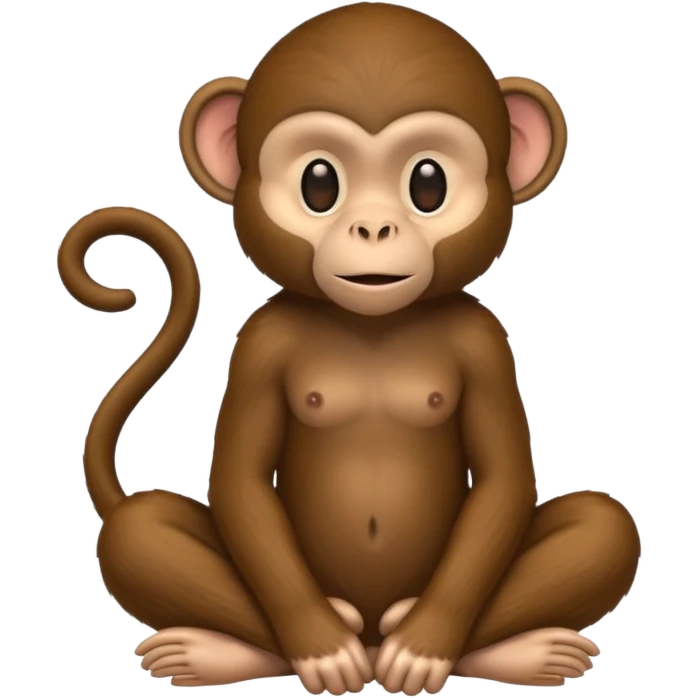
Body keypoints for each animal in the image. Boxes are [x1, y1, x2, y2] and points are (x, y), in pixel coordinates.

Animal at [59, 3, 641, 695]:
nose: (373, 227)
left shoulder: (484, 339)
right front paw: (320, 647)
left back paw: (501, 646)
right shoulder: (262, 340)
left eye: (427, 183)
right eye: (319, 183)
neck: (372, 325)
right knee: (140, 531)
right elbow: (240, 479)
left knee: (605, 526)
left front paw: (424, 646)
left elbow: (504, 480)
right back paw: (237, 647)